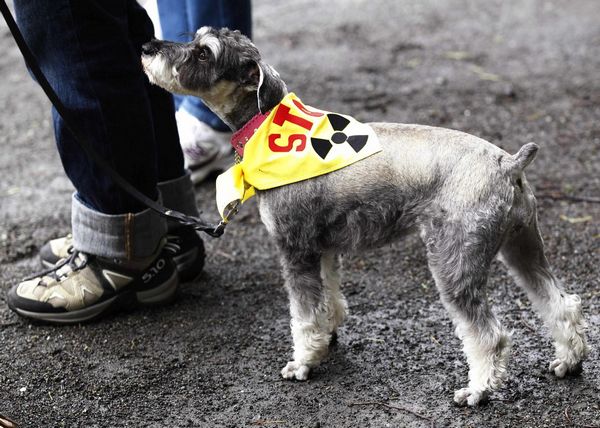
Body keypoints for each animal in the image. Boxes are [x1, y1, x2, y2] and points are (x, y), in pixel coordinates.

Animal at [142, 27, 592, 408]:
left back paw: (478, 390)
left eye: (204, 52)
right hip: (522, 247)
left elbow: (303, 315)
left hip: (454, 264)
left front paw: (303, 363)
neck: (266, 126)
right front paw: (328, 337)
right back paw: (568, 361)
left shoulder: (294, 249)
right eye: (196, 39)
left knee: (489, 335)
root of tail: (507, 164)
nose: (148, 47)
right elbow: (328, 298)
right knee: (560, 302)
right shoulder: (322, 248)